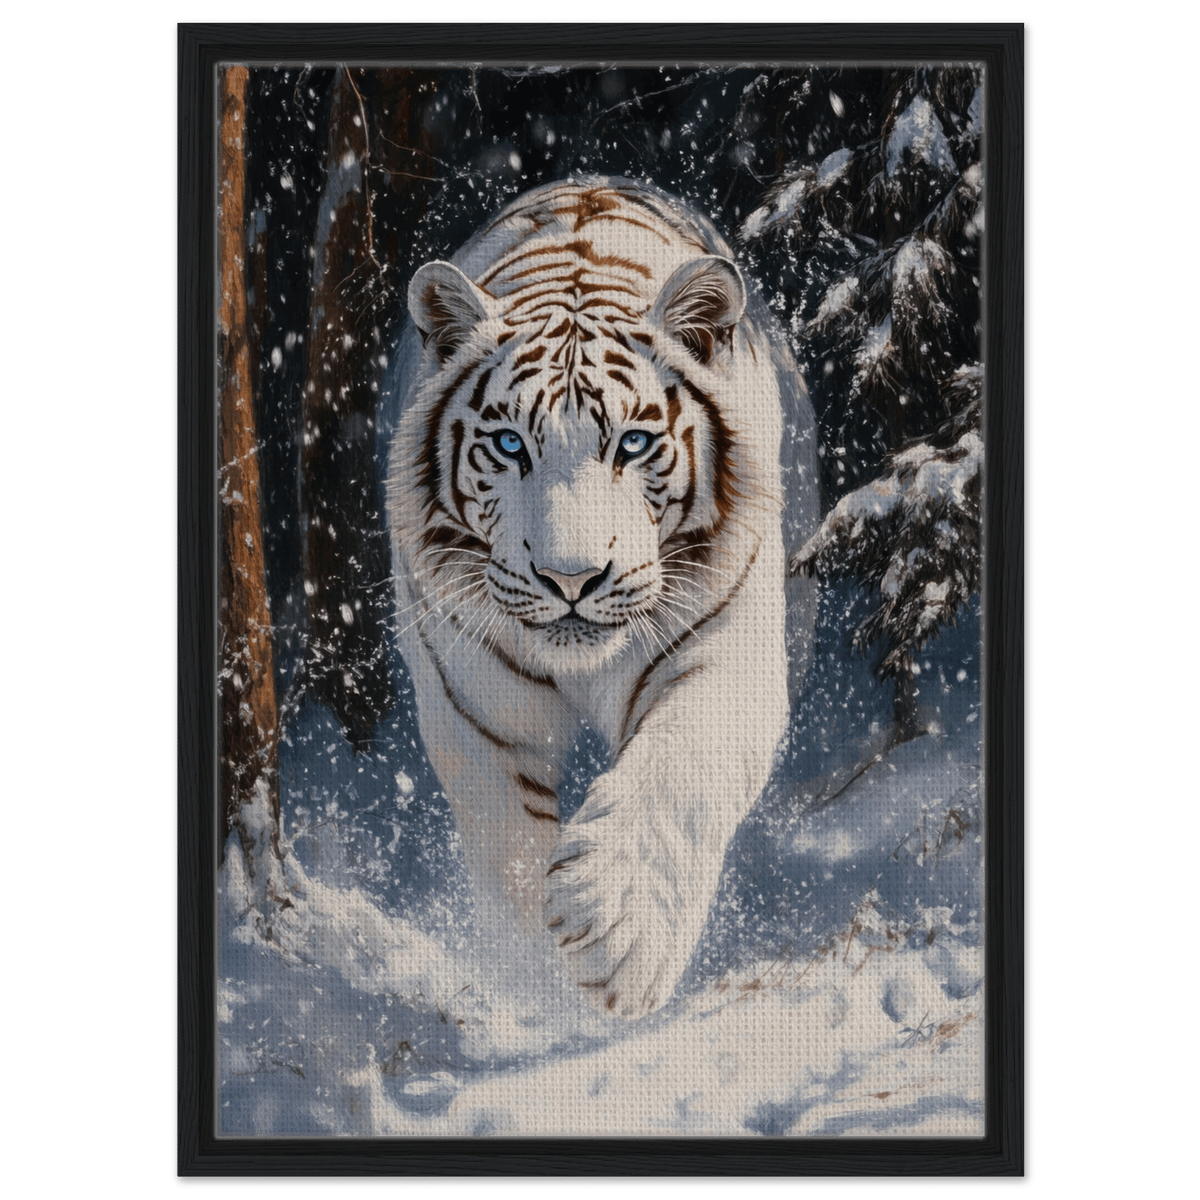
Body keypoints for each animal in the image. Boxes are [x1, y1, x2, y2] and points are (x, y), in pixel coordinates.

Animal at [386, 177, 818, 1019]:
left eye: (634, 444)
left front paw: (617, 933)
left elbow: (682, 770)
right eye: (510, 445)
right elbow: (507, 847)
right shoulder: (473, 706)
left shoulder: (726, 656)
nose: (571, 578)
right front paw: (543, 985)